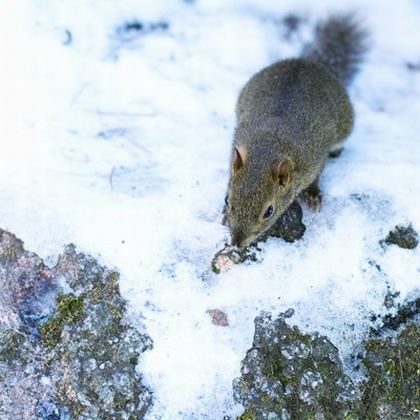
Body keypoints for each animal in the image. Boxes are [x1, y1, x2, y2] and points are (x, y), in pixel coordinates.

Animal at [223, 14, 368, 248]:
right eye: (228, 199)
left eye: (269, 211)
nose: (237, 243)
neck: (269, 147)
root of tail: (311, 63)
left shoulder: (314, 158)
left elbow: (316, 176)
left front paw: (313, 195)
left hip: (345, 122)